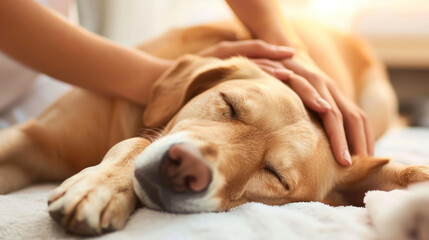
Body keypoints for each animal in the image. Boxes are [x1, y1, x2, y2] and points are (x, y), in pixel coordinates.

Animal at [1, 19, 426, 236]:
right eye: (229, 105)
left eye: (276, 177)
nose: (184, 168)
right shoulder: (29, 138)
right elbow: (136, 141)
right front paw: (100, 185)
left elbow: (136, 140)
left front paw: (103, 189)